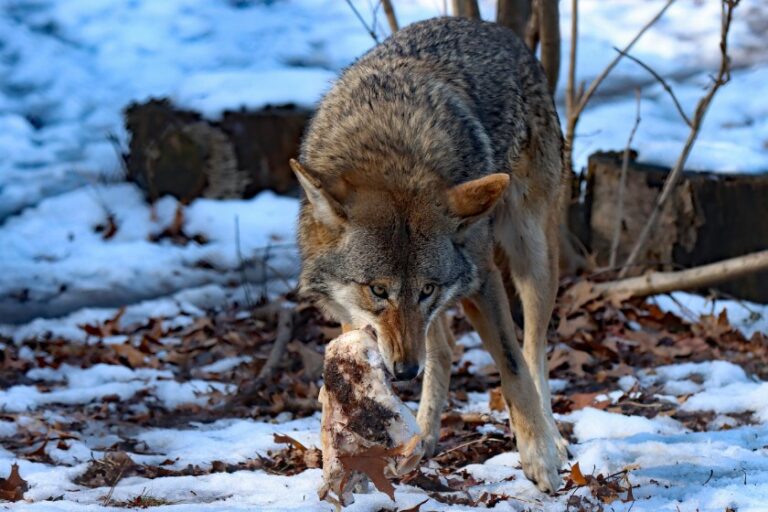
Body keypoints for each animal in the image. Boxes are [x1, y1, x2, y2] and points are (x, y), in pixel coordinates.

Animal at [290, 16, 568, 492]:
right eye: (377, 290)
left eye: (427, 289)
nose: (404, 371)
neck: (391, 150)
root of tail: (491, 27)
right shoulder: (354, 314)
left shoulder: (481, 280)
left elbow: (513, 367)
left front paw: (539, 457)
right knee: (444, 350)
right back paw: (423, 436)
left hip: (530, 253)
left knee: (534, 349)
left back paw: (553, 437)